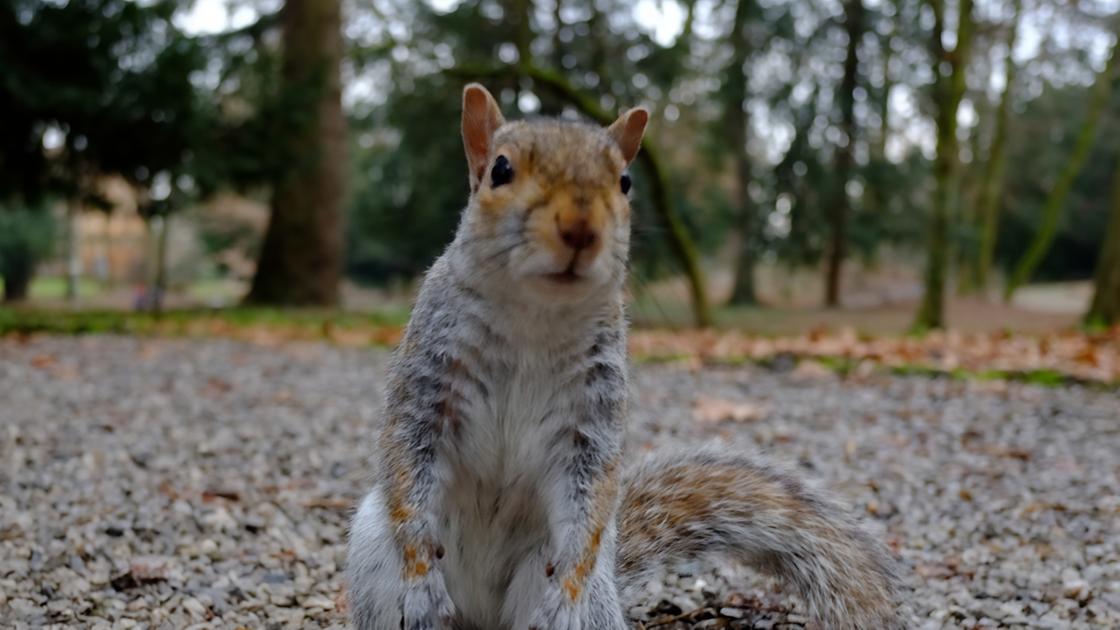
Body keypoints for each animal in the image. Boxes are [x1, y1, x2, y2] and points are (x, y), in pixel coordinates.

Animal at [340, 84, 900, 627]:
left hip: (563, 585)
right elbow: (408, 477)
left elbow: (589, 506)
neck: (534, 316)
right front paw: (421, 580)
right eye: (500, 169)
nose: (580, 227)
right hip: (373, 558)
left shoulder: (590, 421)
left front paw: (564, 598)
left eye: (626, 182)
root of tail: (483, 622)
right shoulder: (426, 391)